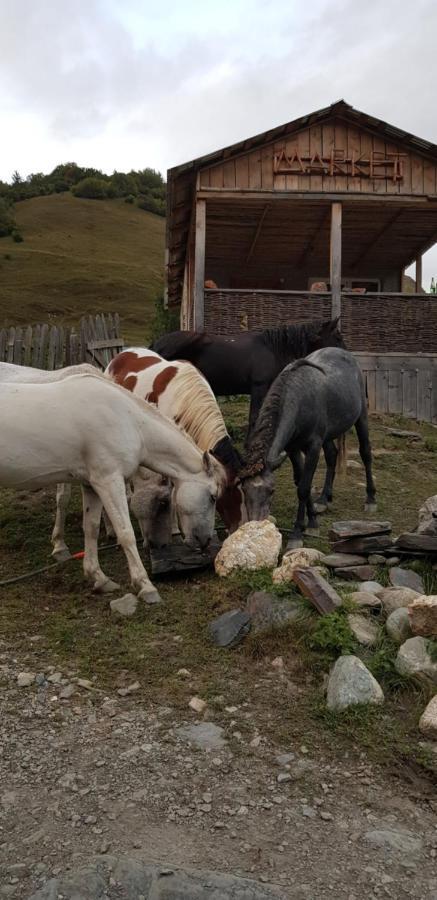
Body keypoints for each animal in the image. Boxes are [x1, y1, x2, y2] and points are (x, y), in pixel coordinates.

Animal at [0, 374, 223, 604]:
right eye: (213, 497)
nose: (205, 540)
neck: (130, 422)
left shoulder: (91, 484)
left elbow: (91, 528)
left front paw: (99, 578)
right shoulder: (110, 481)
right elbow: (126, 533)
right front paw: (145, 586)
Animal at [238, 348, 374, 548]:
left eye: (271, 491)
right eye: (244, 490)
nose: (254, 525)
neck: (298, 402)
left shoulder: (313, 447)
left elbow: (303, 487)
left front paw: (297, 533)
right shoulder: (293, 449)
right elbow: (301, 480)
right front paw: (312, 521)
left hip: (361, 417)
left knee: (365, 453)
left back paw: (371, 499)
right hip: (328, 435)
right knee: (332, 455)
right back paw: (324, 498)